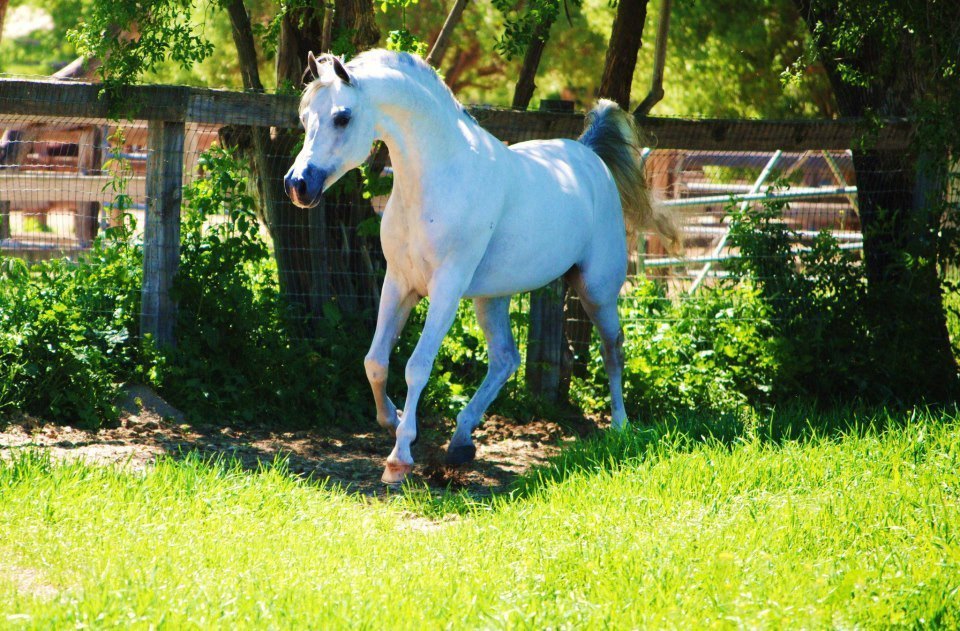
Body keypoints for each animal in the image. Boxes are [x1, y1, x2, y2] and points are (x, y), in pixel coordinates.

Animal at [285, 49, 681, 484]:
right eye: (304, 117)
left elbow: (416, 366)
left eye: (342, 116)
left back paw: (620, 427)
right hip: (493, 298)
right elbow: (375, 361)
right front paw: (392, 419)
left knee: (612, 348)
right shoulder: (399, 282)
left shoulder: (447, 288)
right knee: (506, 358)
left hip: (598, 290)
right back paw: (460, 442)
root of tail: (590, 155)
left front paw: (399, 458)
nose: (297, 185)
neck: (441, 179)